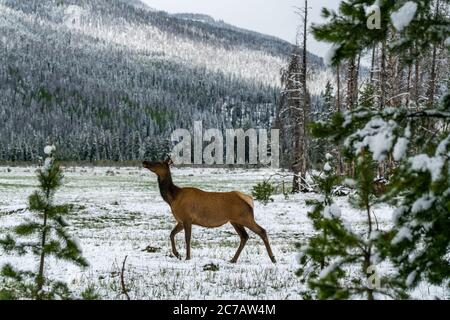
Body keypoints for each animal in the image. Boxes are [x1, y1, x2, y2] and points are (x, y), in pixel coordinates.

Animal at [144, 159, 276, 264]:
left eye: (158, 162)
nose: (145, 161)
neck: (173, 198)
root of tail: (249, 200)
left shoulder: (187, 218)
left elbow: (187, 238)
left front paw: (187, 257)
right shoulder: (180, 221)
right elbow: (171, 234)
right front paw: (177, 254)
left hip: (245, 217)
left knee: (261, 231)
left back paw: (273, 258)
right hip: (235, 221)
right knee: (244, 236)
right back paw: (233, 259)